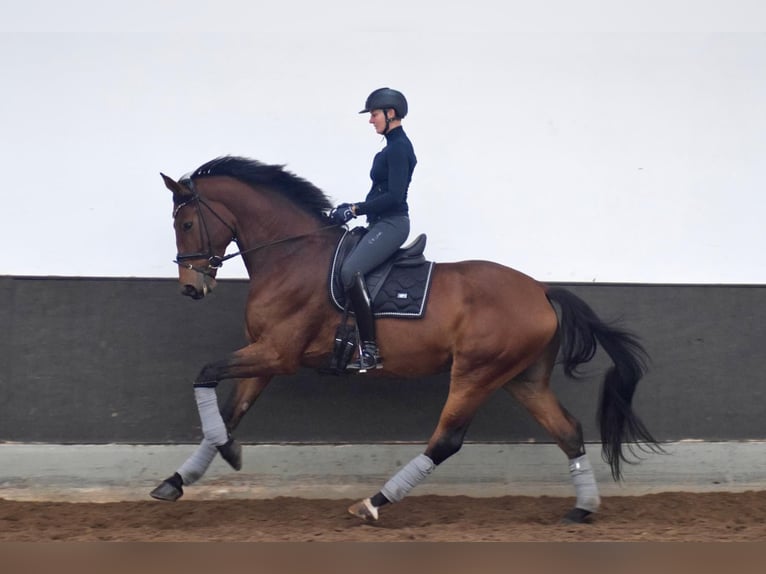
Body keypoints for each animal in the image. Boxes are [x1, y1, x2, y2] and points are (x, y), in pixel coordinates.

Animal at [153, 158, 664, 528]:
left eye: (186, 224)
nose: (190, 287)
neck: (290, 255)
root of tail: (540, 290)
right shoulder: (264, 357)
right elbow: (229, 411)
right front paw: (178, 480)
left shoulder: (278, 354)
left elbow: (205, 376)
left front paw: (226, 454)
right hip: (522, 379)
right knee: (568, 432)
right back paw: (582, 509)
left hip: (476, 373)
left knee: (447, 440)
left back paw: (373, 503)